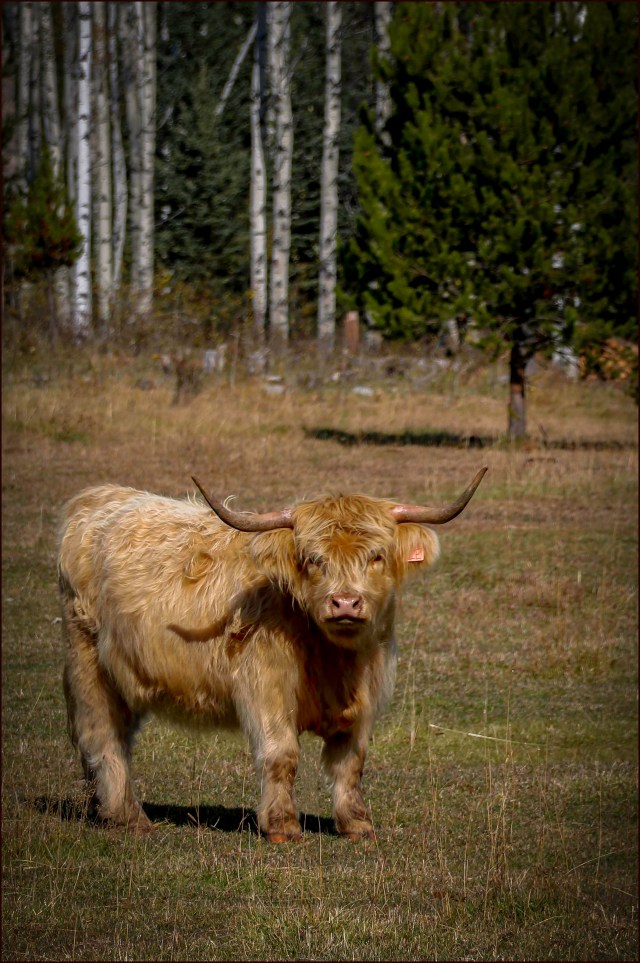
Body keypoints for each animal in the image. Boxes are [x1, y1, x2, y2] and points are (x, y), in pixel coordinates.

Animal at [57, 468, 487, 841]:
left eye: (376, 556)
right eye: (313, 559)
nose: (345, 603)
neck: (334, 657)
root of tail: (99, 498)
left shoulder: (367, 694)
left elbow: (351, 762)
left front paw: (357, 824)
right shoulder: (266, 686)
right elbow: (282, 754)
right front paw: (282, 826)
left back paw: (105, 808)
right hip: (88, 661)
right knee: (102, 735)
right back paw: (129, 816)